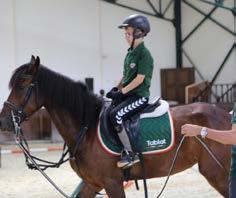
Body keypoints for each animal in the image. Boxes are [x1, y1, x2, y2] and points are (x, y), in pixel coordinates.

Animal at [0, 56, 232, 198]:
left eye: (21, 85)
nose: (3, 121)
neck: (87, 128)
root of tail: (226, 116)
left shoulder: (112, 183)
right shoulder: (92, 184)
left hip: (218, 174)